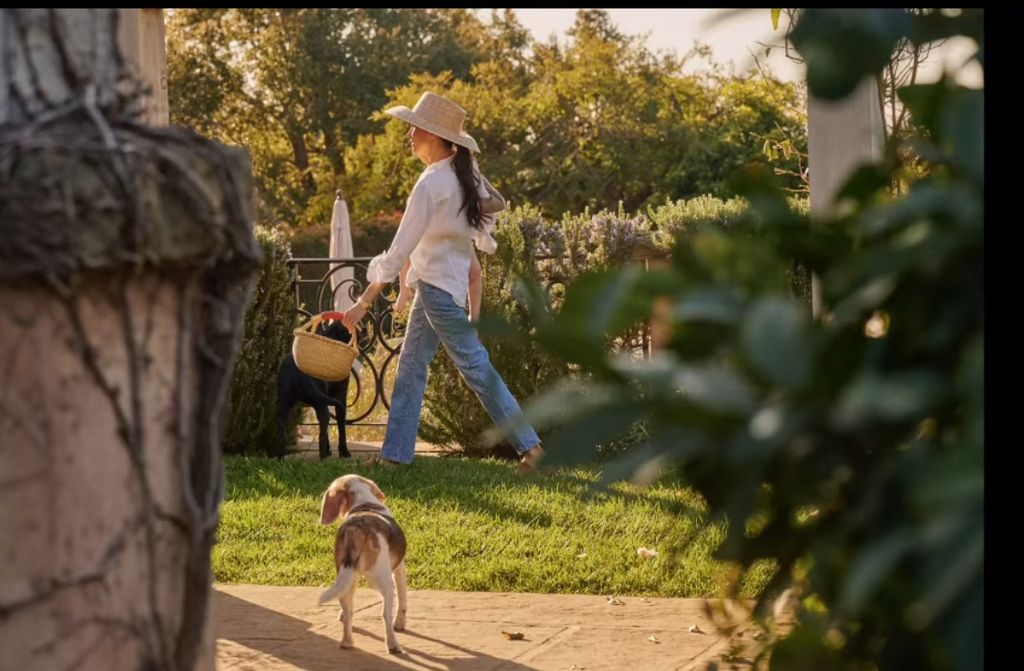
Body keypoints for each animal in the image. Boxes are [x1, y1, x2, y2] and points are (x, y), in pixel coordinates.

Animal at [274, 317, 354, 458]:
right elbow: (341, 428)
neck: (330, 336)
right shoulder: (340, 398)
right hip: (321, 403)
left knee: (281, 436)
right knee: (321, 435)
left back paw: (280, 458)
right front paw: (344, 452)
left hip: (284, 404)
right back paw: (323, 457)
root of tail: (298, 372)